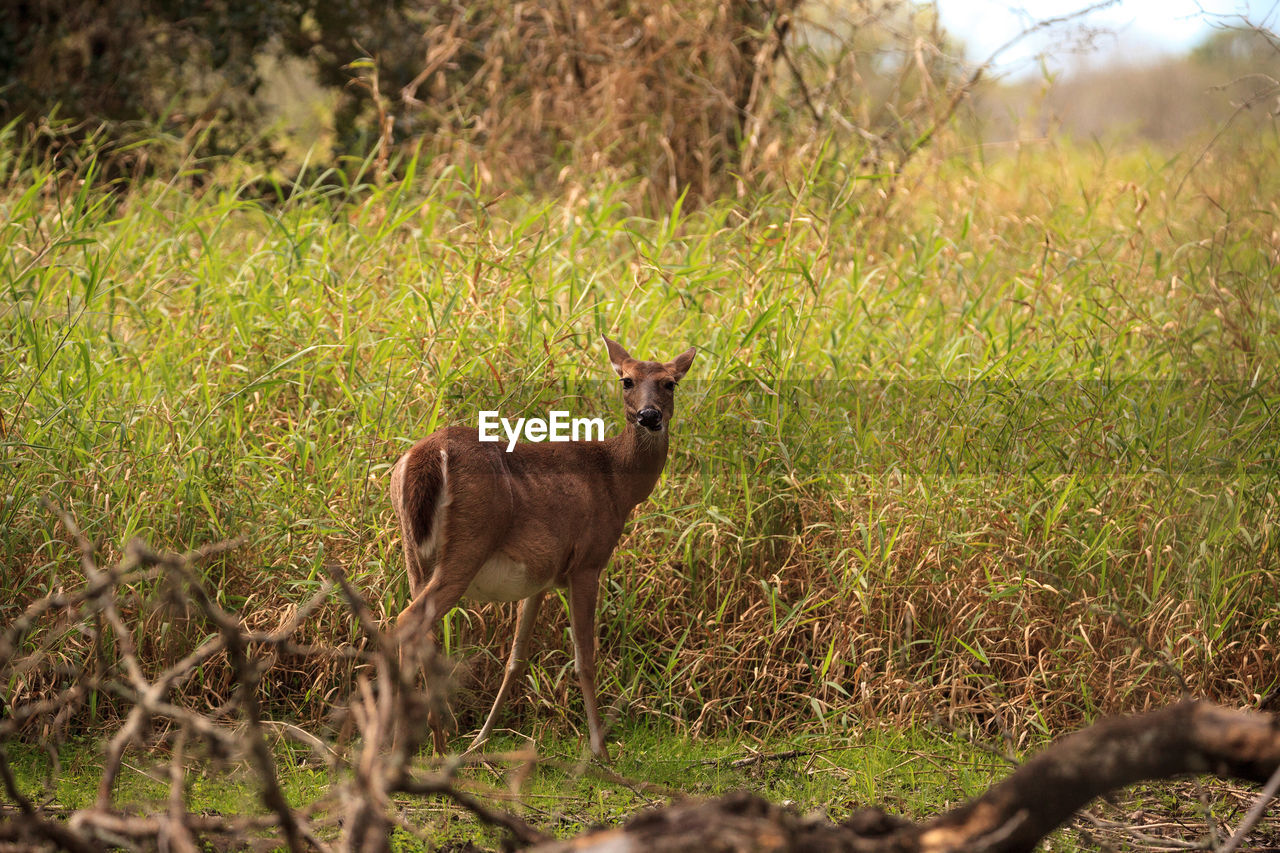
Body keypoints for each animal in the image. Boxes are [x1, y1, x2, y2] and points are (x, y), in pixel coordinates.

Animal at [389, 333, 696, 758]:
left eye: (670, 383)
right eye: (627, 380)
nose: (649, 416)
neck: (617, 482)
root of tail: (424, 456)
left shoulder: (540, 577)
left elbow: (516, 658)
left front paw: (480, 740)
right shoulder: (588, 563)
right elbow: (585, 659)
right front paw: (601, 751)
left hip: (412, 551)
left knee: (425, 632)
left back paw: (437, 741)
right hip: (468, 543)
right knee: (408, 621)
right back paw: (405, 744)